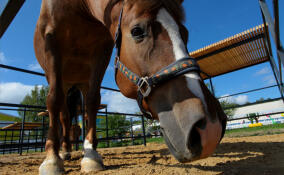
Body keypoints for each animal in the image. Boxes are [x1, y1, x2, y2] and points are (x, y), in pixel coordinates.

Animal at [34, 0, 227, 174]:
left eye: (185, 33)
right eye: (137, 31)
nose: (211, 129)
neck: (78, 8)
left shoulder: (101, 52)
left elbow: (92, 102)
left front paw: (91, 156)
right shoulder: (52, 43)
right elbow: (53, 100)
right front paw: (51, 160)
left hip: (81, 82)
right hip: (62, 80)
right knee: (63, 114)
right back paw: (64, 152)